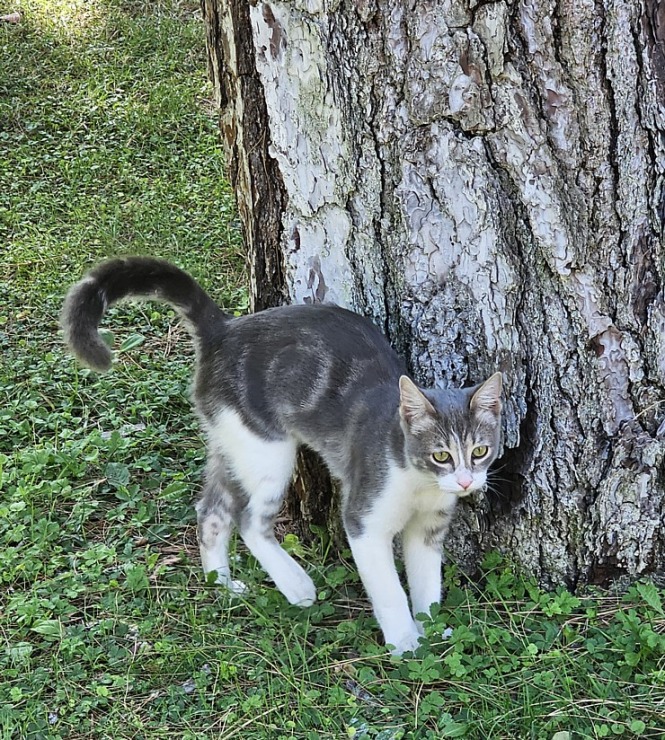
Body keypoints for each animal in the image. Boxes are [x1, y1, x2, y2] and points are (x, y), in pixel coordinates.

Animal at [62, 256, 504, 652]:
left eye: (480, 451)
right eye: (441, 456)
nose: (466, 481)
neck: (419, 483)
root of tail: (224, 328)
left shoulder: (429, 527)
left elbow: (428, 584)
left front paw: (432, 628)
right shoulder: (364, 518)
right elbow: (390, 591)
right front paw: (406, 644)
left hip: (231, 441)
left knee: (211, 511)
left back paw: (222, 583)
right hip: (267, 450)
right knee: (248, 521)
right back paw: (296, 585)